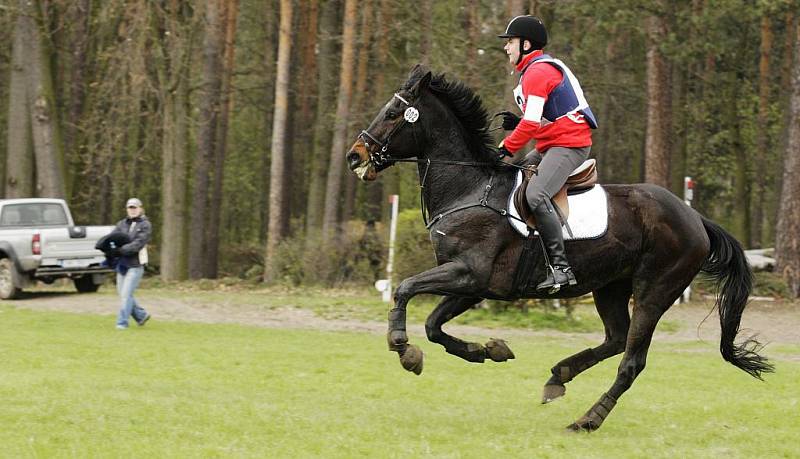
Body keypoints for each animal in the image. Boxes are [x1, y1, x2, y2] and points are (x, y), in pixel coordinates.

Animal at [346, 63, 772, 432]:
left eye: (391, 114)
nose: (355, 156)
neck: (468, 188)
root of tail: (695, 218)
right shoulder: (473, 285)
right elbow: (434, 326)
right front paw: (489, 350)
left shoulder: (468, 274)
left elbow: (404, 289)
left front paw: (402, 347)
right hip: (610, 286)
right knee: (616, 338)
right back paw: (559, 375)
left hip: (655, 290)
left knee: (631, 361)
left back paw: (588, 419)